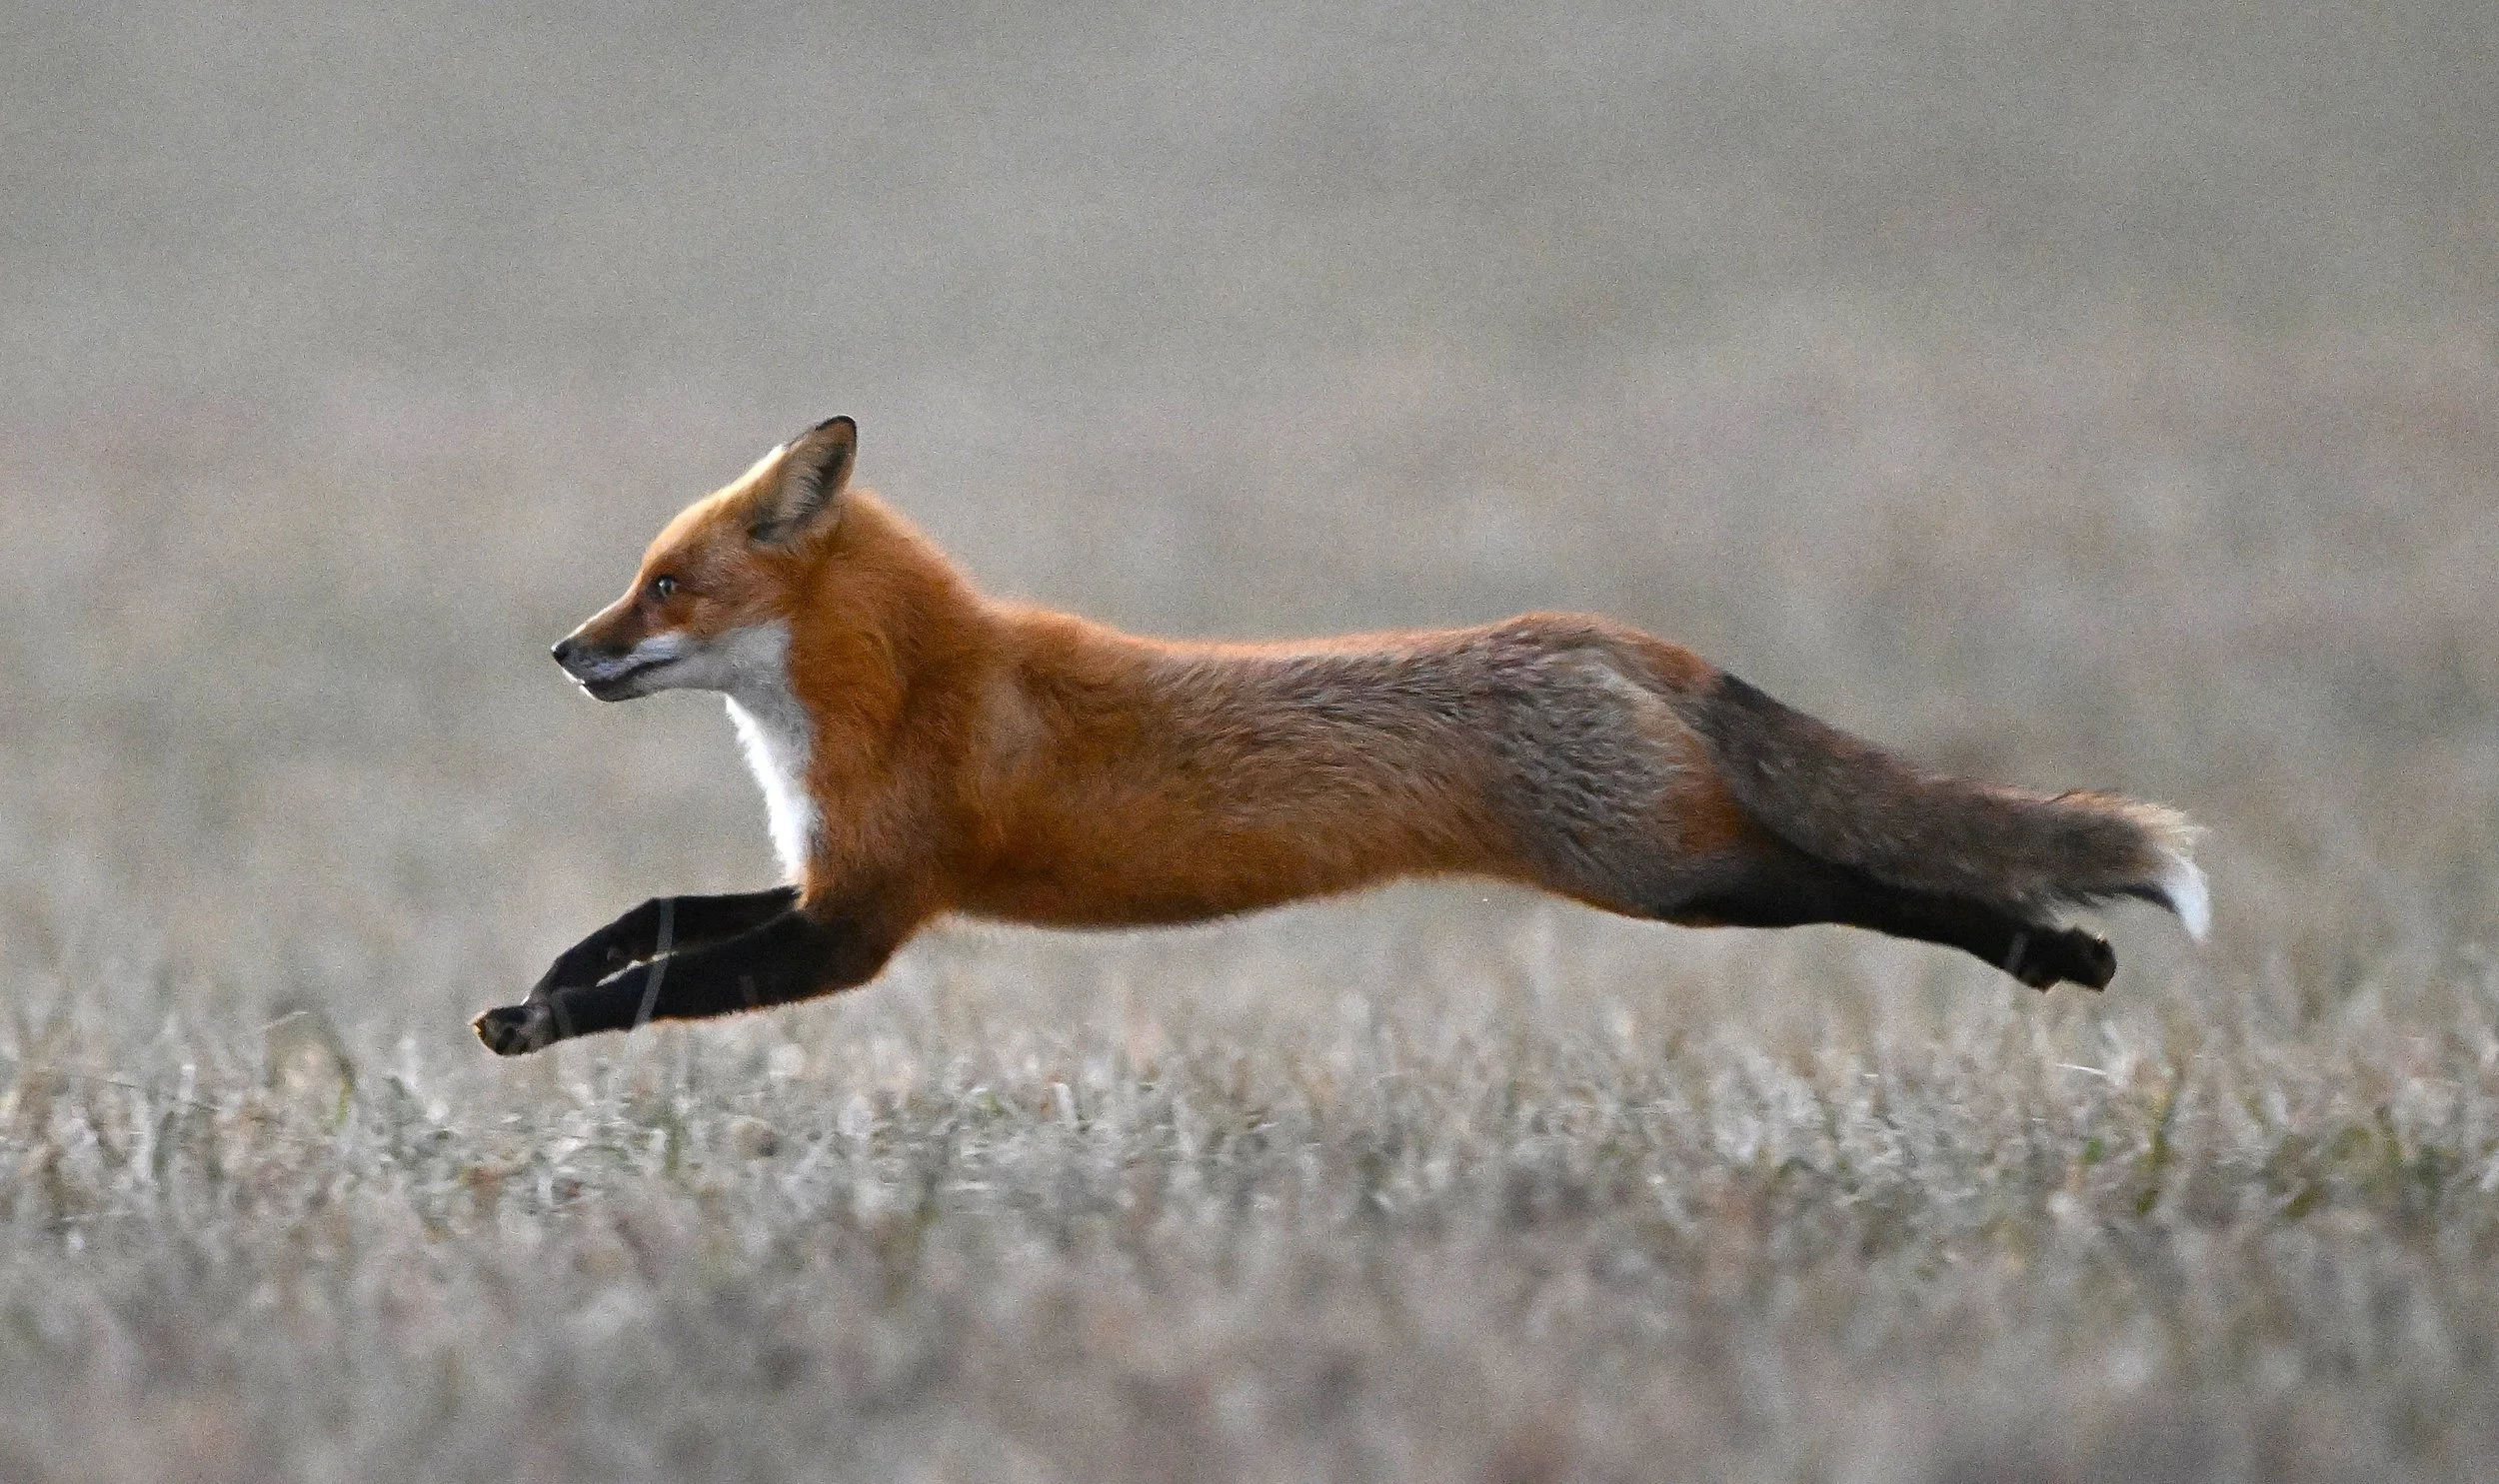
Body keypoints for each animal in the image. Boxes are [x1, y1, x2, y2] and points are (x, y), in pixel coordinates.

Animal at [473, 416, 2209, 1055]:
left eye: (665, 585)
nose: (563, 650)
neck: (888, 696)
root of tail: (1599, 629)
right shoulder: (832, 879)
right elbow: (651, 919)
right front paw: (549, 979)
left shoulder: (863, 924)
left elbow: (669, 981)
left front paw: (541, 1025)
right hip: (1679, 873)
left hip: (1683, 883)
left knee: (1880, 887)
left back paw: (2054, 952)